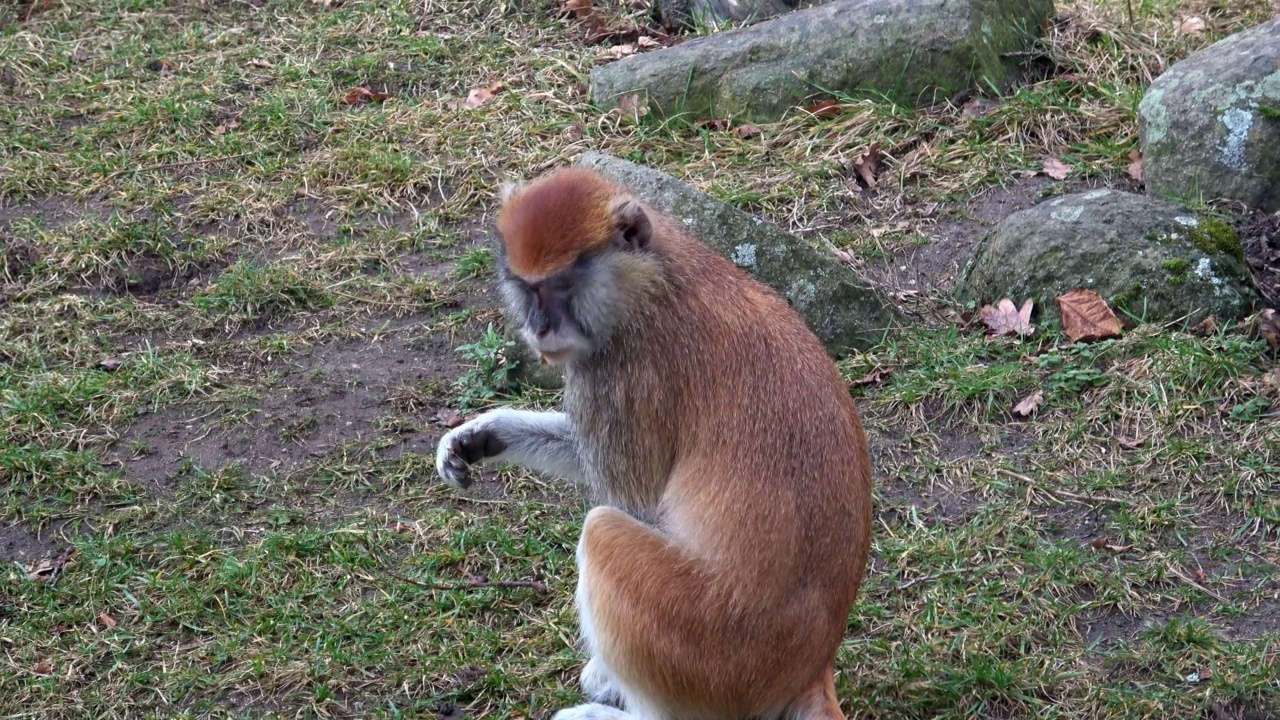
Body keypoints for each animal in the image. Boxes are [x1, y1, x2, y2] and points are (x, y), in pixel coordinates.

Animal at [437, 166, 870, 717]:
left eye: (564, 285)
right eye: (527, 289)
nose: (539, 328)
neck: (653, 281)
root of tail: (811, 668)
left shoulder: (626, 374)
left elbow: (635, 502)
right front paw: (480, 435)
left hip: (712, 650)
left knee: (603, 532)